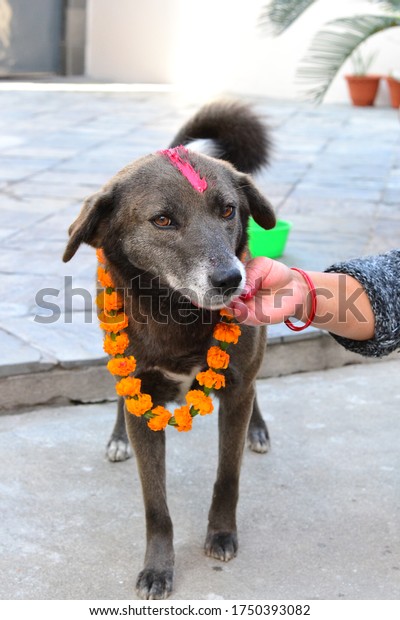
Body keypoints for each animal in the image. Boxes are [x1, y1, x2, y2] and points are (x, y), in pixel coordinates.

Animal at [63, 99, 276, 600]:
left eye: (228, 210)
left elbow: (228, 476)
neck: (177, 314)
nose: (231, 279)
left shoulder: (236, 389)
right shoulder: (142, 394)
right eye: (162, 220)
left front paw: (222, 535)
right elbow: (155, 505)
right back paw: (117, 437)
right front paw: (158, 568)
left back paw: (258, 429)